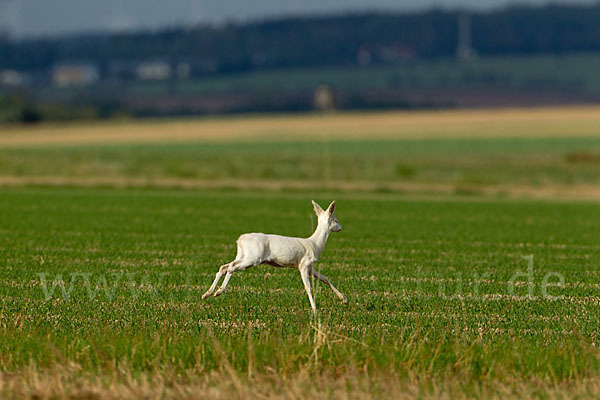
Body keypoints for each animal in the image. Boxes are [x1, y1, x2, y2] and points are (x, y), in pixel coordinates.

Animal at [203, 200, 346, 310]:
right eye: (336, 220)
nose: (341, 228)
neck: (315, 244)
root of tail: (240, 240)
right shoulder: (303, 264)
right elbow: (308, 287)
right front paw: (315, 309)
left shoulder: (310, 267)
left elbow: (325, 278)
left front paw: (344, 299)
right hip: (253, 258)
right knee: (231, 267)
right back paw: (218, 291)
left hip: (243, 255)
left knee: (224, 266)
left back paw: (207, 293)